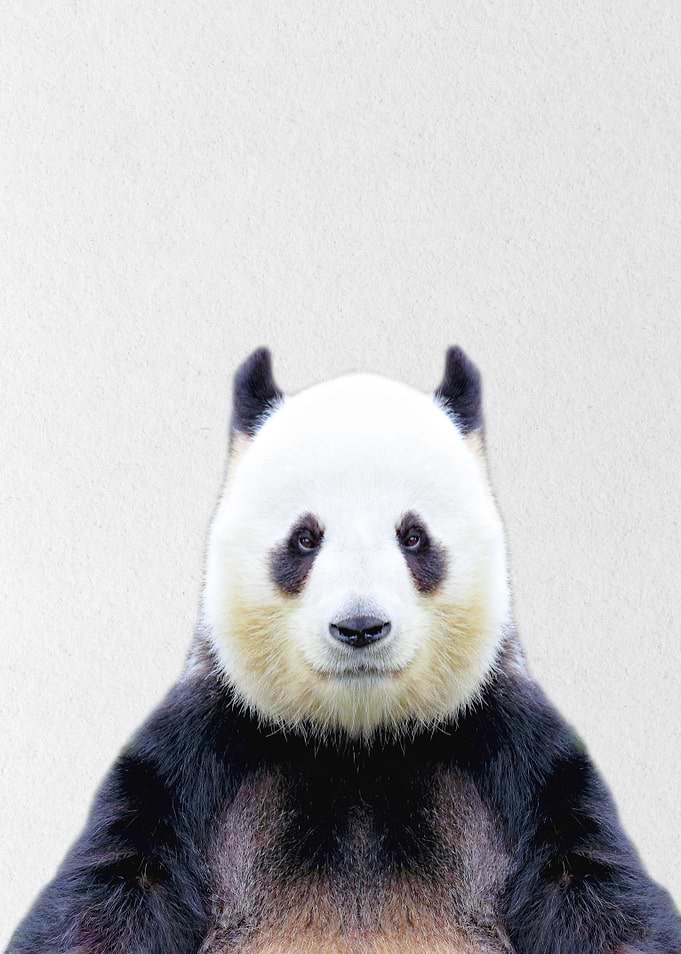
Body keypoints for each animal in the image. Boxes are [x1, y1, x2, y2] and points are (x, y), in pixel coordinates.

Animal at [8, 346, 681, 954]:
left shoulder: (509, 750)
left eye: (414, 537)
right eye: (305, 539)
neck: (358, 741)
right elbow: (113, 897)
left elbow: (593, 892)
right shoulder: (202, 750)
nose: (361, 628)